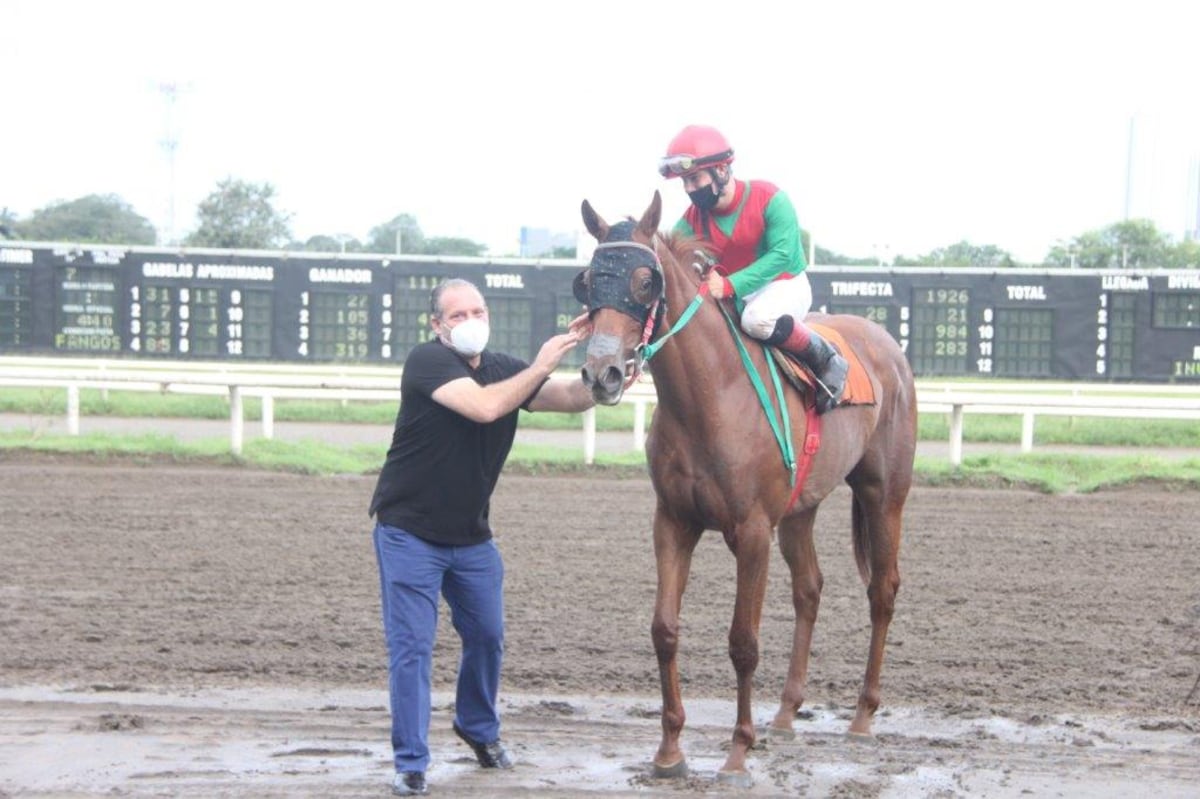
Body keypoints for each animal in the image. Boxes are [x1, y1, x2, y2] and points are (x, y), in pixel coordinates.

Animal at [573, 191, 916, 782]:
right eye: (590, 281)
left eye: (645, 281)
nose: (603, 373)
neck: (710, 396)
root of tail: (886, 346)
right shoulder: (673, 522)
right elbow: (664, 629)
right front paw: (670, 751)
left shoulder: (752, 531)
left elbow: (743, 642)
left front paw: (737, 751)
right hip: (800, 509)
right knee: (809, 588)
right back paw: (786, 710)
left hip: (883, 493)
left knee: (882, 589)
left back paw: (863, 715)